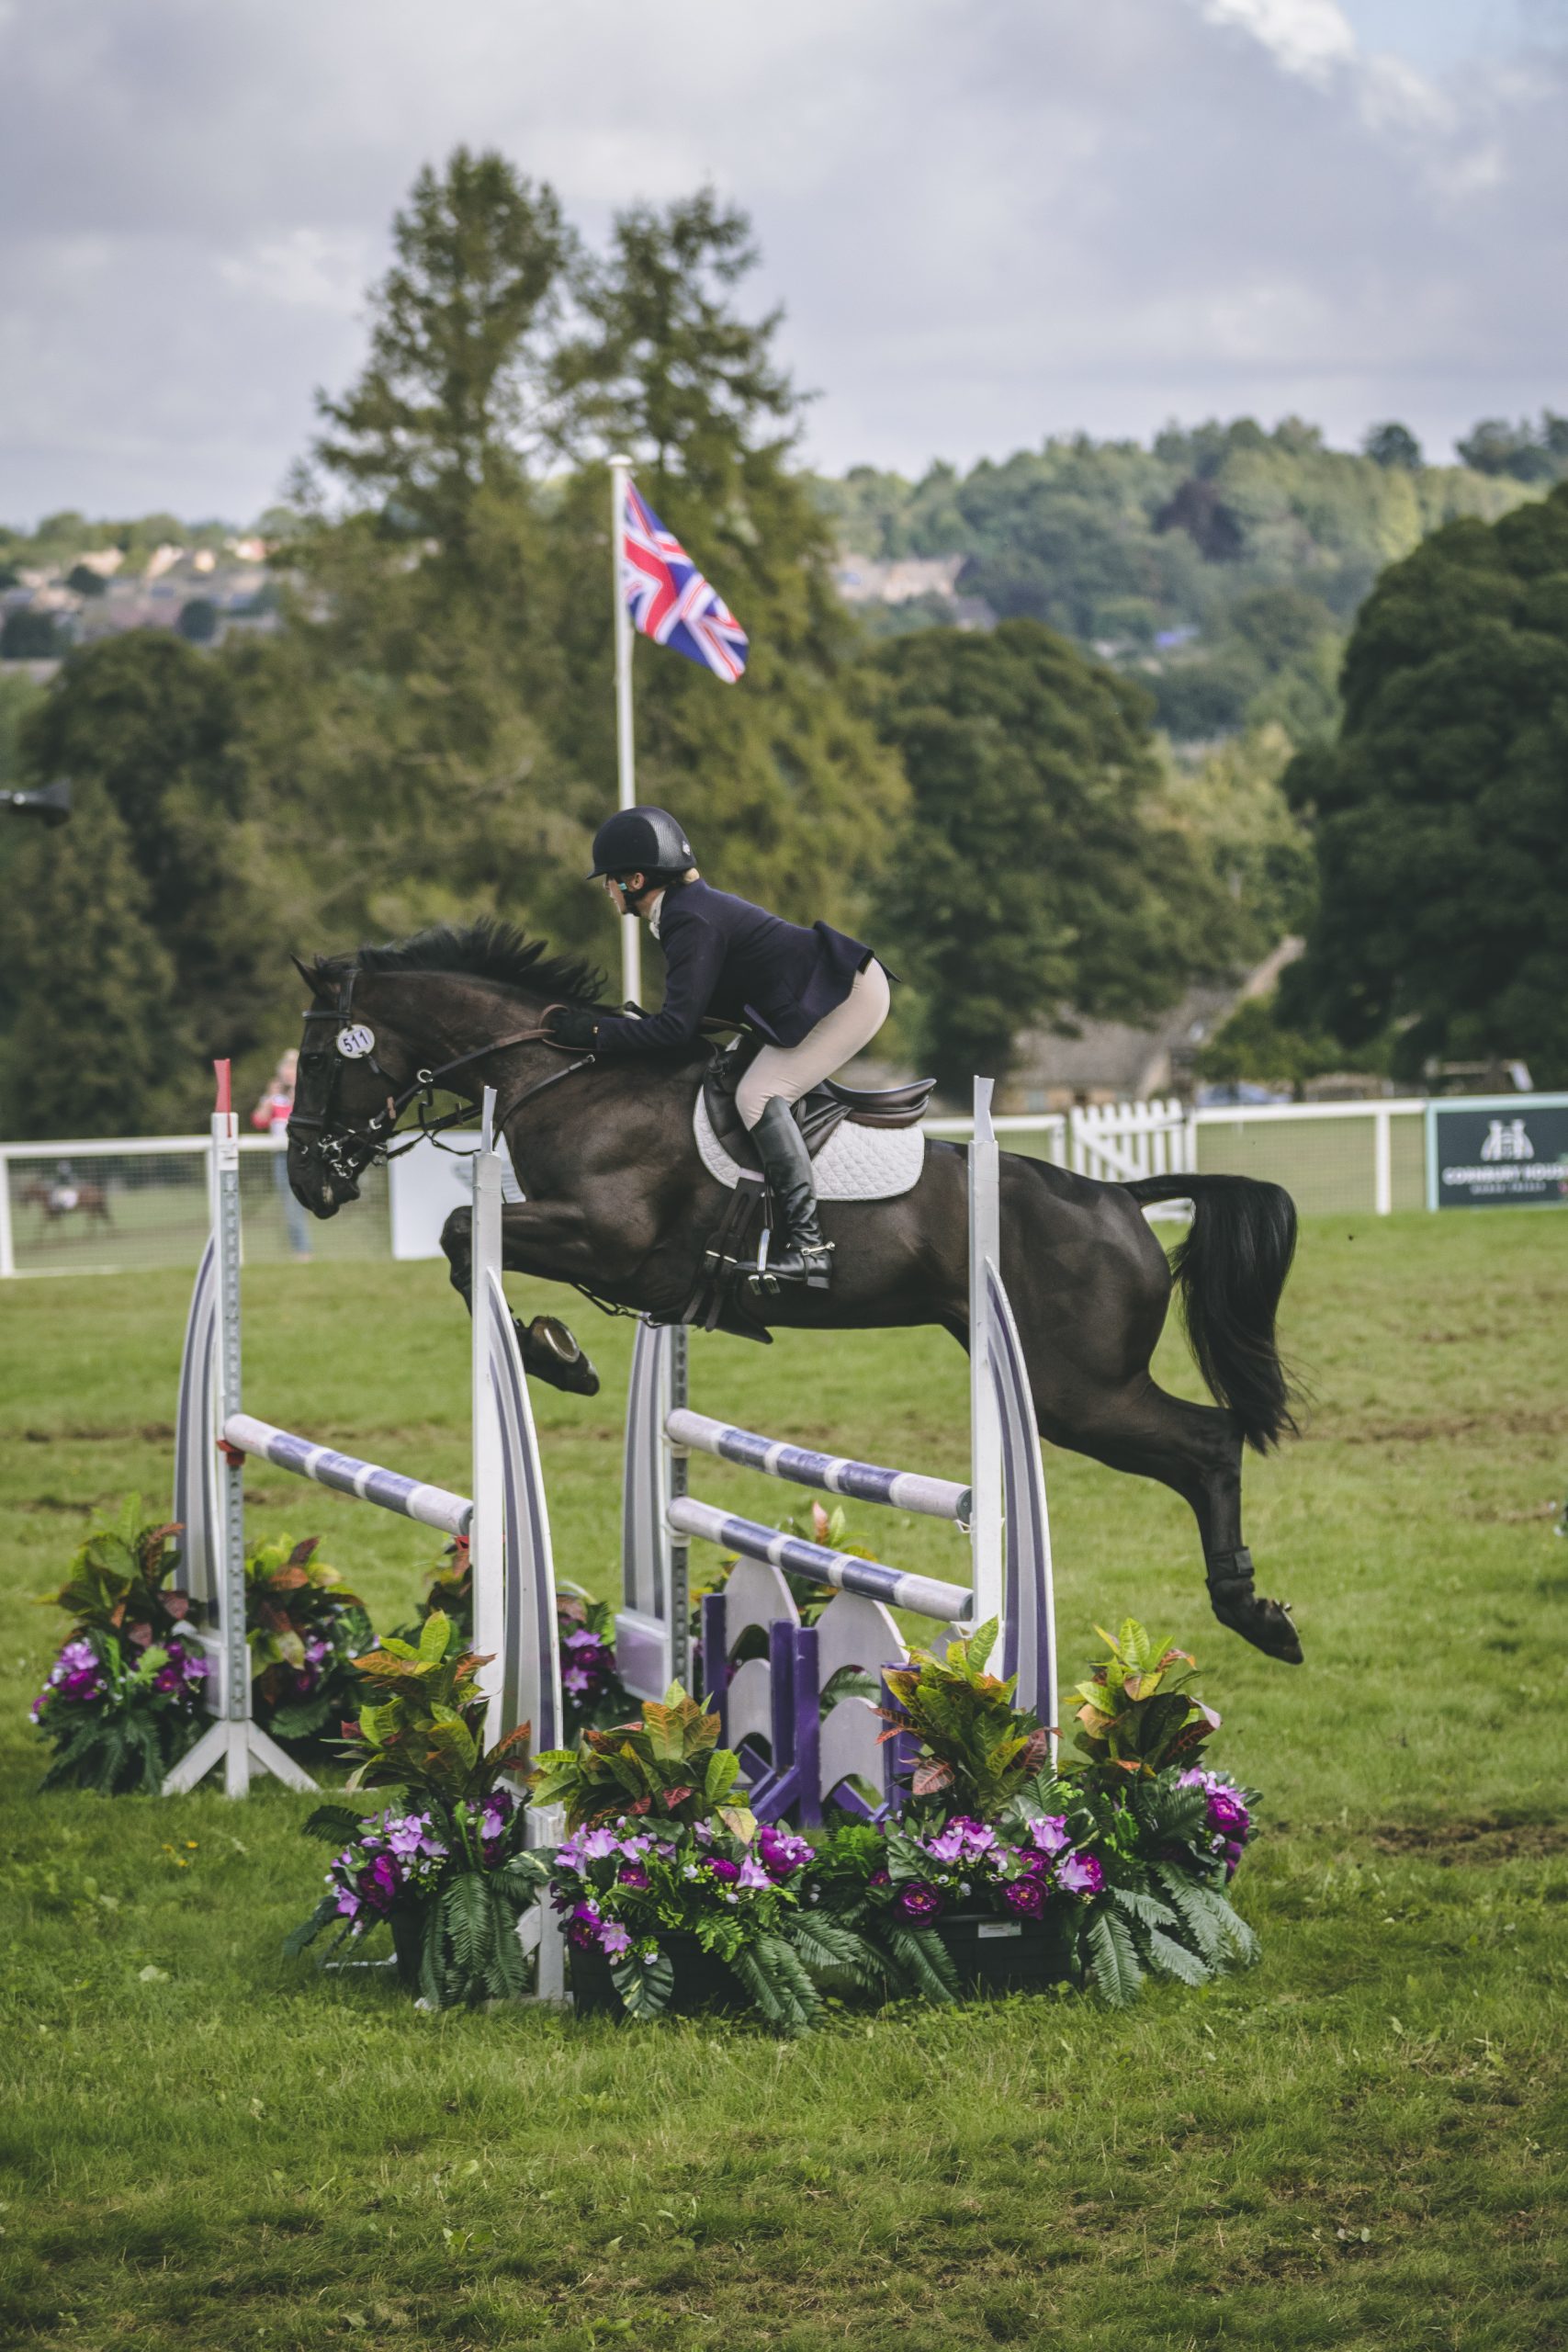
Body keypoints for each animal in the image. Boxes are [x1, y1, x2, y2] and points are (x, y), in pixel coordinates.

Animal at [288, 926, 1306, 1665]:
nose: (307, 1181)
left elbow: (464, 1231)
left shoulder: (609, 1239)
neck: (567, 1081)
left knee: (1209, 1442)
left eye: (320, 1060)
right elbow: (465, 1240)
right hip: (1068, 1384)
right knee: (1202, 1447)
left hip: (1075, 1388)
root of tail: (1119, 1196)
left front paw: (556, 1356)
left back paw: (1253, 1612)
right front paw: (557, 1348)